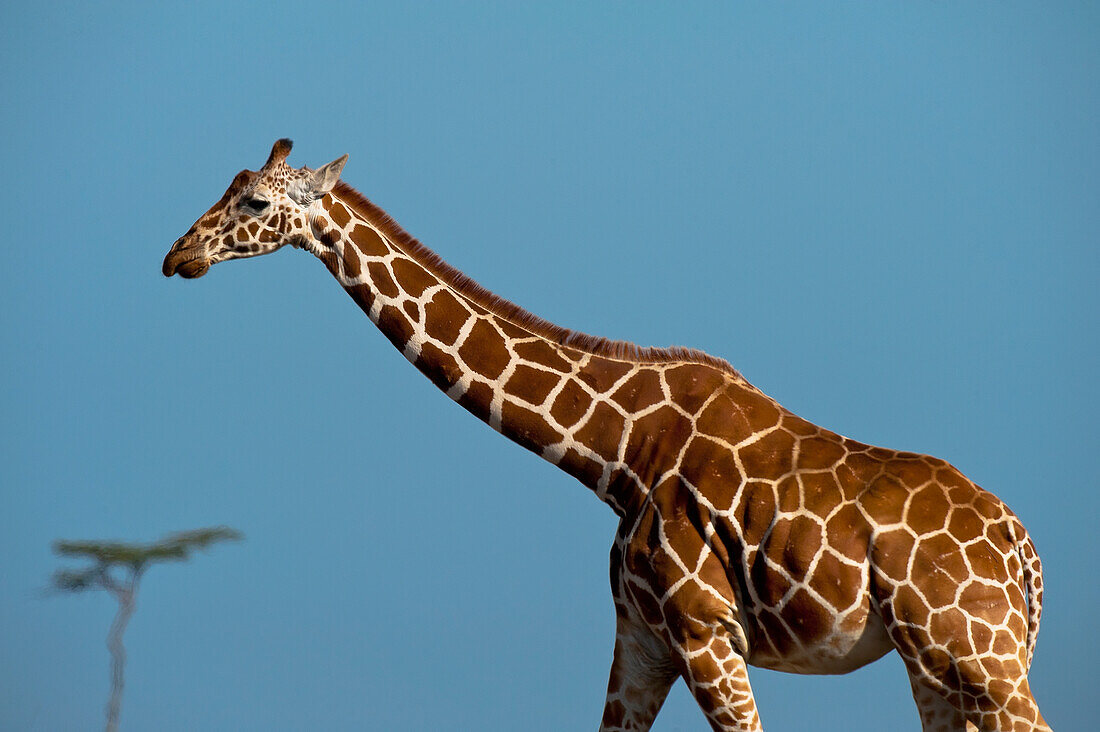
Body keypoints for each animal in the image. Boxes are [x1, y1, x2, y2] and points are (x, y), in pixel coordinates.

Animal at [160, 139, 1047, 726]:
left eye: (256, 203)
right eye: (230, 186)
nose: (177, 255)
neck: (615, 453)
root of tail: (1026, 557)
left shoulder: (706, 632)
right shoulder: (641, 640)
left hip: (977, 653)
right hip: (936, 668)